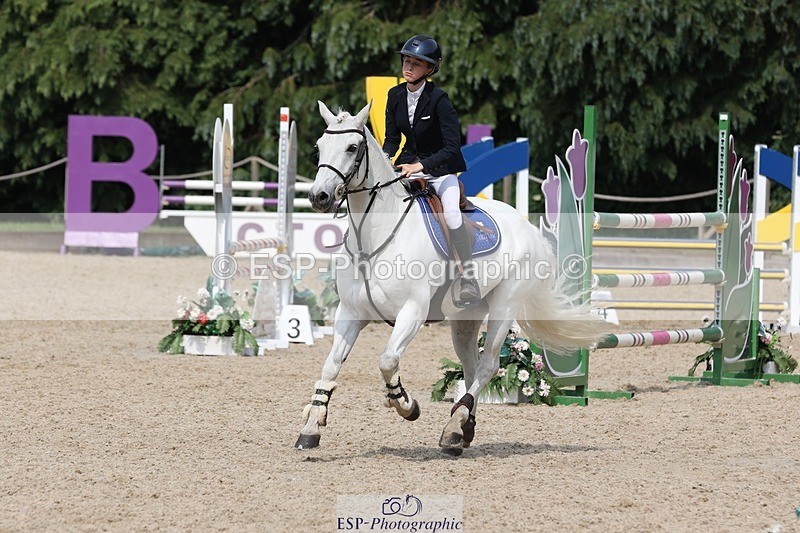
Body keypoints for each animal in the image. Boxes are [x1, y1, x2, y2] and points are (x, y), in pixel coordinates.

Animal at [297, 100, 604, 455]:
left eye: (351, 147)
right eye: (319, 147)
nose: (318, 196)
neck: (373, 237)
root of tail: (526, 226)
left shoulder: (412, 312)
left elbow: (387, 360)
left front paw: (405, 405)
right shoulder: (350, 313)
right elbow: (331, 365)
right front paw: (311, 427)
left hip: (504, 307)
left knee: (487, 366)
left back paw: (455, 426)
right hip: (465, 318)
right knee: (471, 366)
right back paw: (461, 429)